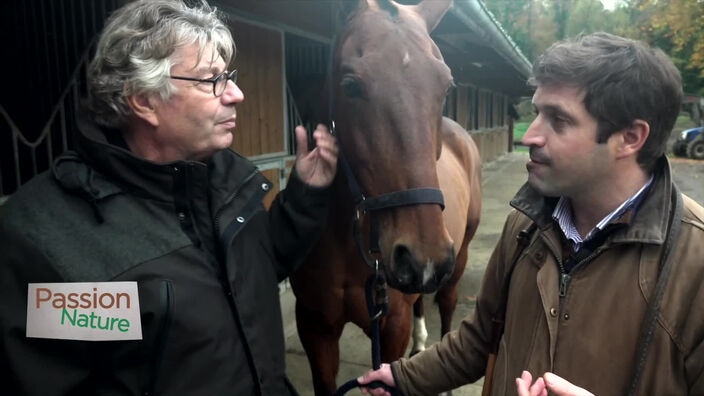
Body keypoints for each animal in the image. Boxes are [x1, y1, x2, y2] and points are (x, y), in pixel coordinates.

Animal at [288, 1, 482, 394]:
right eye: (350, 85)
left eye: (446, 85)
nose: (423, 258)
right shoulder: (315, 327)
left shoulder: (392, 327)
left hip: (459, 256)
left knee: (448, 303)